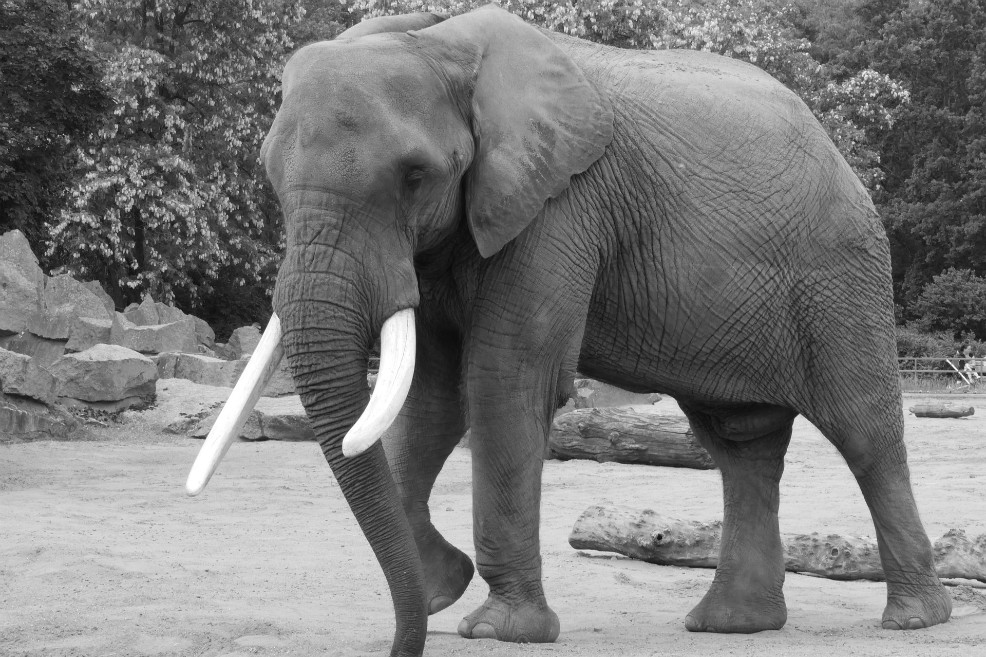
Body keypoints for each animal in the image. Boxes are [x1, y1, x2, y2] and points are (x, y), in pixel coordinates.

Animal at [186, 5, 951, 657]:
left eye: (414, 176)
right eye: (269, 176)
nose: (406, 646)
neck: (437, 41)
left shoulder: (560, 206)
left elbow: (501, 381)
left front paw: (495, 628)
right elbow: (431, 399)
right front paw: (437, 592)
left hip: (841, 275)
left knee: (864, 429)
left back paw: (913, 619)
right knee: (739, 442)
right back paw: (732, 623)